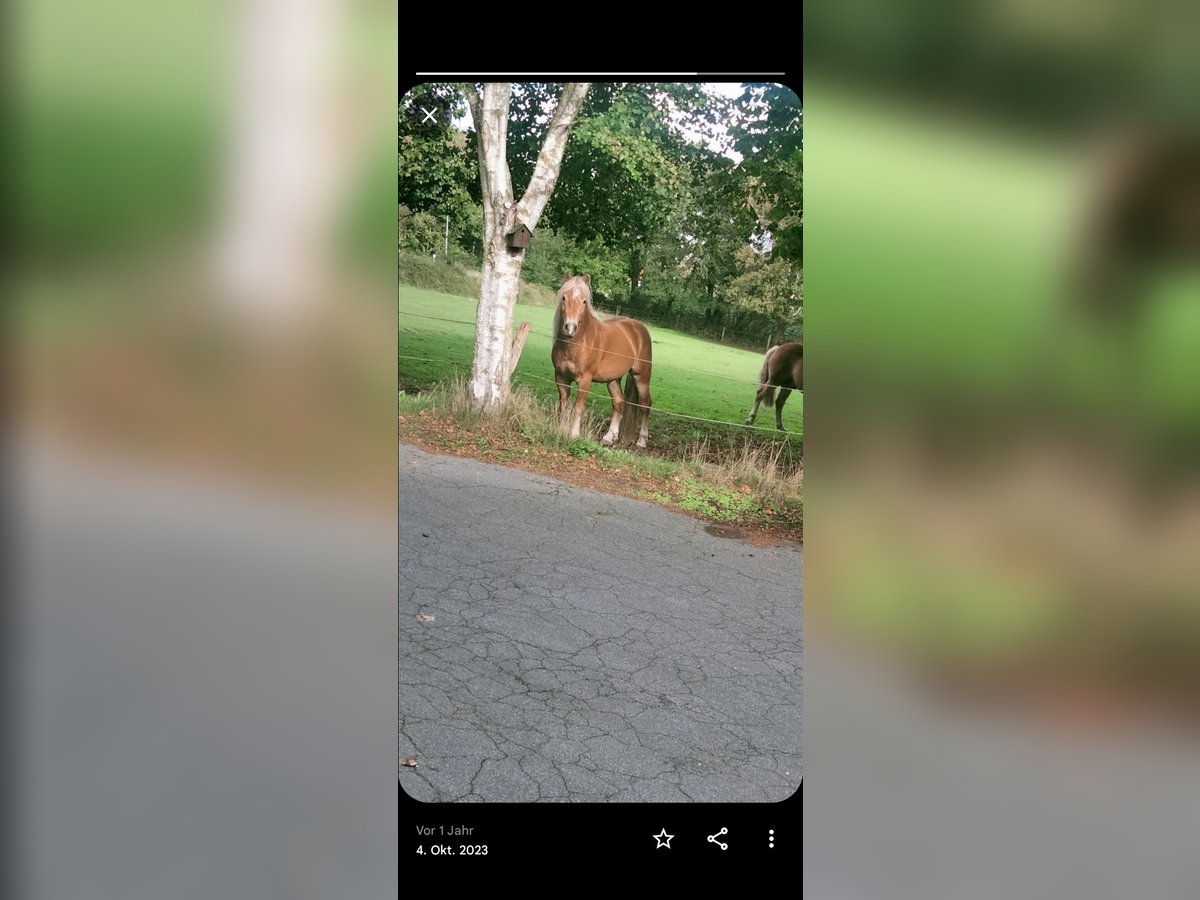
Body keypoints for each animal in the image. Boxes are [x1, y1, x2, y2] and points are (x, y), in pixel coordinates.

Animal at [549, 271, 652, 448]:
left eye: (584, 301)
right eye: (564, 297)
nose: (570, 328)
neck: (578, 343)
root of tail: (640, 328)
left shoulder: (585, 380)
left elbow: (578, 407)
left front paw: (574, 434)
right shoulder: (561, 377)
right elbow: (564, 405)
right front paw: (560, 430)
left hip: (642, 377)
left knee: (645, 405)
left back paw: (641, 440)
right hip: (613, 379)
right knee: (618, 402)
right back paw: (609, 437)